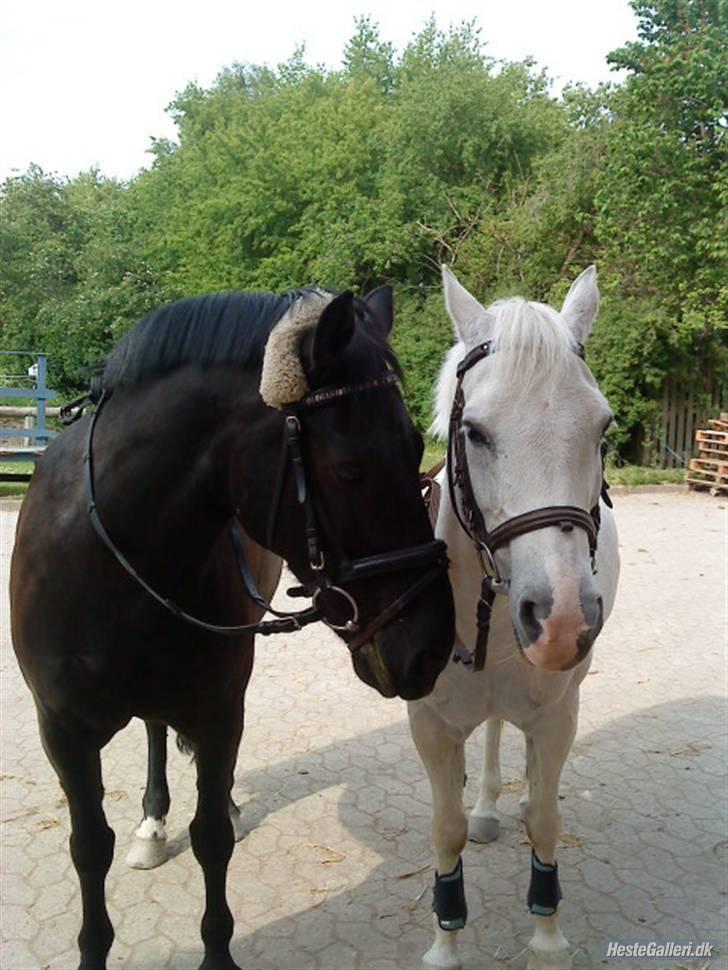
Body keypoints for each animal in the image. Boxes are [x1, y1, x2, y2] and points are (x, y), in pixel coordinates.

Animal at [8, 284, 456, 964]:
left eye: (414, 450)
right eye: (350, 469)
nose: (431, 648)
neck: (113, 560)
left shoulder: (219, 712)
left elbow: (212, 836)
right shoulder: (62, 732)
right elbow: (89, 847)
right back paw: (151, 822)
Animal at [410, 264, 620, 968]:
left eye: (603, 429)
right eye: (474, 431)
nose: (561, 622)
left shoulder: (557, 715)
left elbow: (547, 823)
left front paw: (547, 939)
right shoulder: (430, 726)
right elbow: (444, 830)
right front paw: (445, 941)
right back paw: (485, 806)